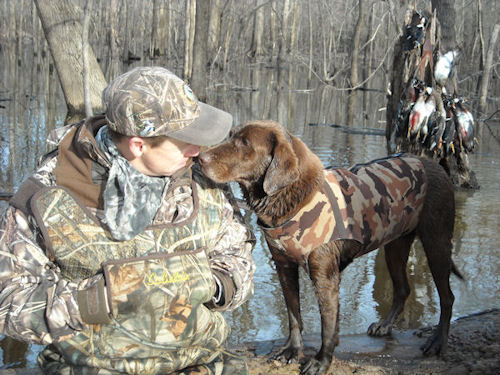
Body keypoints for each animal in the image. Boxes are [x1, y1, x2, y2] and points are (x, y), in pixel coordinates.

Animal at [197, 121, 462, 375]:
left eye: (244, 143)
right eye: (231, 136)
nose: (200, 158)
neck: (291, 198)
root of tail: (435, 165)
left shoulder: (325, 277)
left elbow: (328, 326)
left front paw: (321, 362)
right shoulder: (284, 267)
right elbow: (293, 315)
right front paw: (291, 350)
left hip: (436, 243)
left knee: (448, 297)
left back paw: (437, 341)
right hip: (395, 246)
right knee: (403, 289)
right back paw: (385, 326)